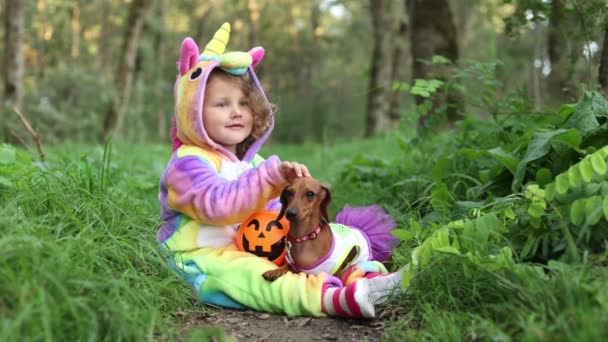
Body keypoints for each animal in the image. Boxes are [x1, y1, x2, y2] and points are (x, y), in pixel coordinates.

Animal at [260, 176, 394, 280]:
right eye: (289, 192)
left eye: (310, 193)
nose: (290, 213)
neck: (304, 237)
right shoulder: (291, 262)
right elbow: (286, 266)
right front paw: (275, 271)